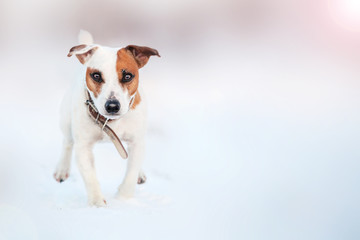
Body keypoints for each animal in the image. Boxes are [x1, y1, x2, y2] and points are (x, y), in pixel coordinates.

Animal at [53, 30, 160, 206]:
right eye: (96, 76)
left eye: (128, 76)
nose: (112, 106)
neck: (110, 122)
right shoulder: (83, 147)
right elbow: (90, 175)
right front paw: (97, 202)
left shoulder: (137, 141)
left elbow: (131, 172)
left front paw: (123, 198)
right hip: (66, 121)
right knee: (67, 142)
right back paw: (62, 169)